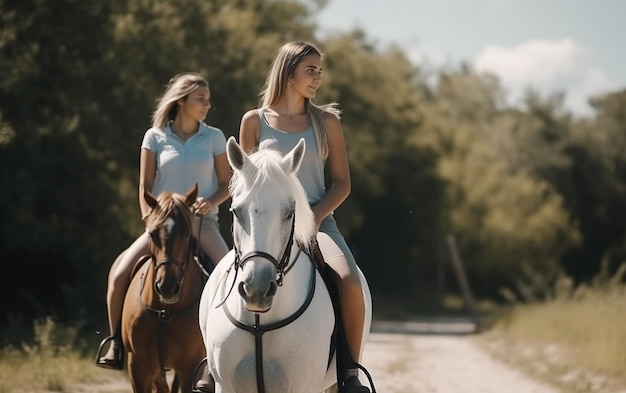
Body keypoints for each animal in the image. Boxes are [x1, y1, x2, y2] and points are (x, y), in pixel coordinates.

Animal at [122, 185, 207, 392]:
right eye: (152, 234)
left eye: (187, 233)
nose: (167, 287)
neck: (165, 313)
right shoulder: (138, 365)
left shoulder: (189, 367)